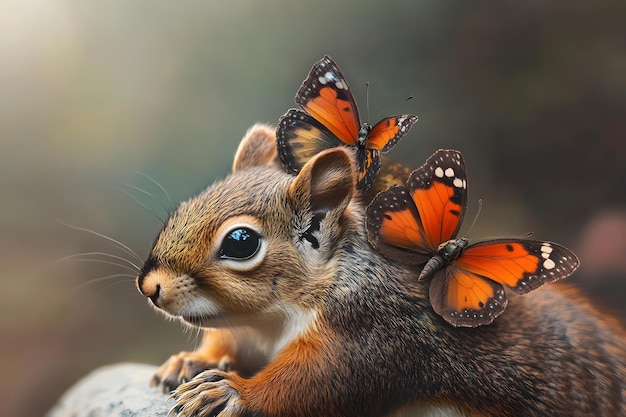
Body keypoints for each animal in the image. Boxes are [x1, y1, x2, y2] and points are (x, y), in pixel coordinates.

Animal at [134, 123, 620, 416]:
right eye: (187, 206)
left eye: (241, 242)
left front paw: (230, 391)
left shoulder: (371, 332)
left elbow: (312, 384)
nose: (149, 286)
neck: (269, 320)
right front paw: (190, 360)